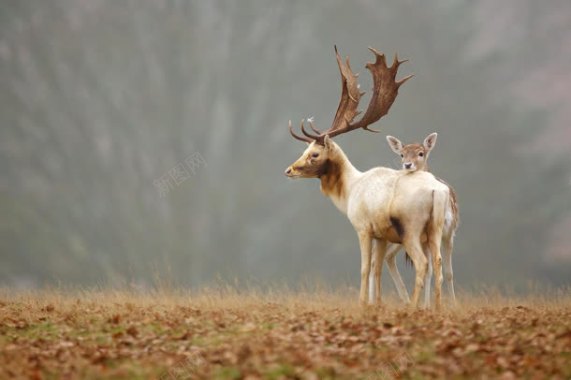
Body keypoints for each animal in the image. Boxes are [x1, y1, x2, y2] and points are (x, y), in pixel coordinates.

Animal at [286, 46, 452, 308]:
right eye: (305, 150)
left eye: (314, 154)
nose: (289, 170)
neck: (350, 191)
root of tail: (438, 190)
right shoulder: (381, 234)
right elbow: (376, 268)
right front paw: (377, 304)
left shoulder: (363, 228)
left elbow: (365, 268)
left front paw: (362, 303)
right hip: (435, 229)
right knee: (438, 263)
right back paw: (435, 308)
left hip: (411, 228)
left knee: (423, 263)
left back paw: (413, 307)